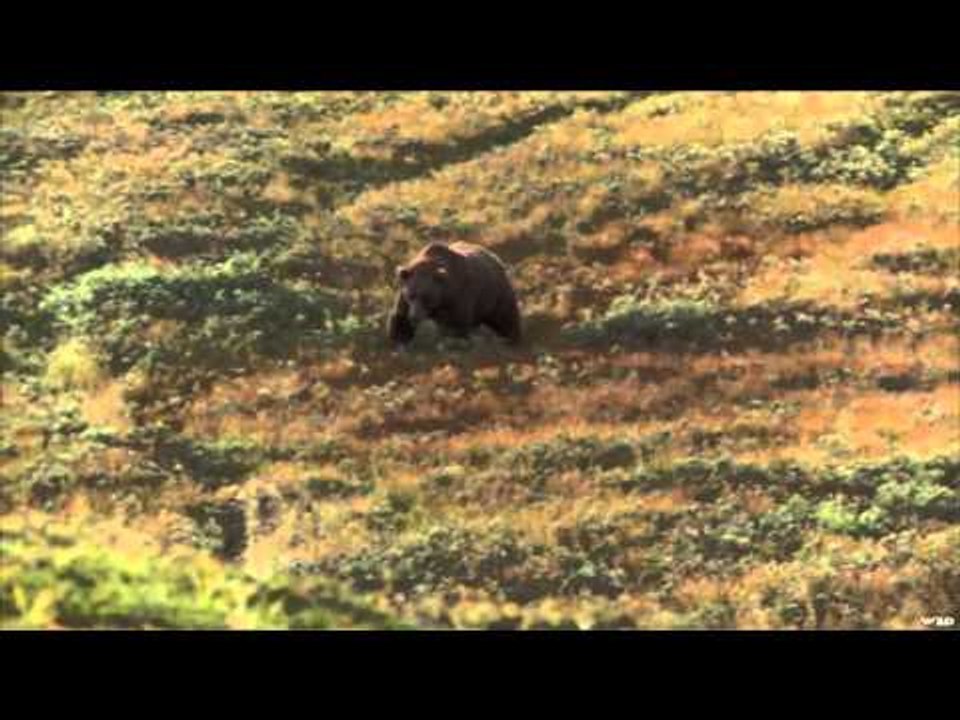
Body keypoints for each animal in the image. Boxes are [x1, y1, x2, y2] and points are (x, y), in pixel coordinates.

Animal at [388, 241, 522, 347]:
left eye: (426, 297)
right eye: (411, 295)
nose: (415, 317)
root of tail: (495, 257)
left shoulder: (458, 296)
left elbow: (455, 325)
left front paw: (453, 342)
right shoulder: (404, 296)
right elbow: (400, 317)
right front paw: (399, 341)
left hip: (494, 294)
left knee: (506, 316)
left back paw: (511, 339)